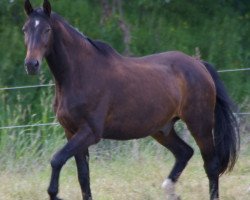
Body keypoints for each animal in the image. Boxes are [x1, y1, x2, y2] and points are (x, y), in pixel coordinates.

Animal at [23, 0, 240, 199]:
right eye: (25, 29)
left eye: (47, 29)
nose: (31, 65)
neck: (79, 74)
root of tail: (199, 65)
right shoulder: (71, 132)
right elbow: (83, 177)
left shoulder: (89, 132)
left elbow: (56, 159)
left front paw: (54, 193)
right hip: (162, 129)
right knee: (184, 152)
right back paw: (169, 190)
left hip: (199, 124)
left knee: (211, 165)